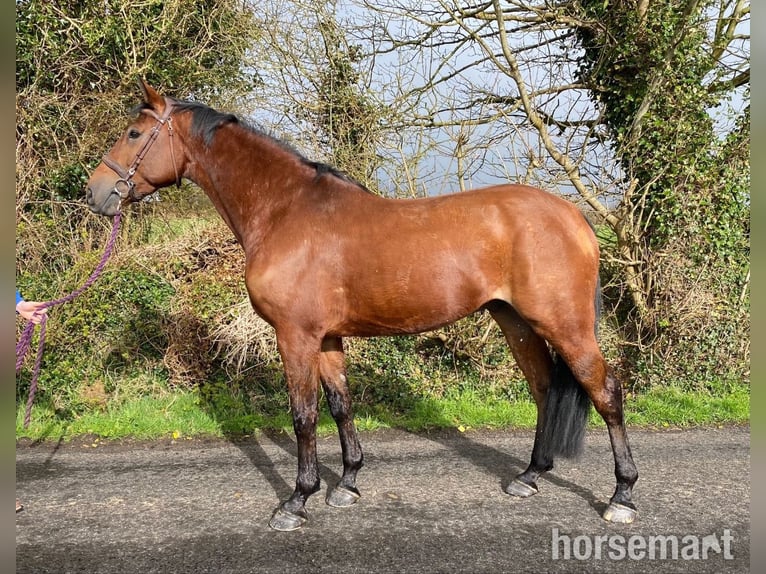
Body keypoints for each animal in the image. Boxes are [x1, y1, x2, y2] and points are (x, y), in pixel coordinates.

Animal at [86, 80, 638, 531]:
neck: (285, 211)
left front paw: (297, 500)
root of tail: (574, 217)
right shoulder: (327, 336)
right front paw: (346, 483)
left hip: (565, 325)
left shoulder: (295, 336)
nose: (96, 192)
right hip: (516, 322)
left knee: (606, 391)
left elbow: (304, 414)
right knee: (545, 389)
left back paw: (622, 496)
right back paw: (530, 475)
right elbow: (340, 404)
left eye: (134, 133)